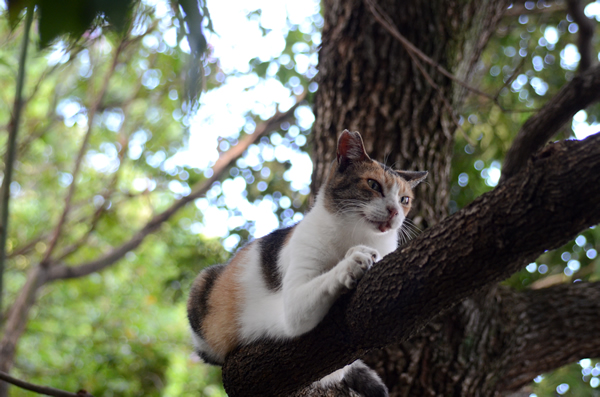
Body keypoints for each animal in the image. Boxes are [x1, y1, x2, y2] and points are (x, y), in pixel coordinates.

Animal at [188, 130, 426, 396]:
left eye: (404, 199)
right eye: (373, 185)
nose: (395, 211)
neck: (357, 235)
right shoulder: (294, 304)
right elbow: (326, 279)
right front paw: (355, 260)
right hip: (202, 284)